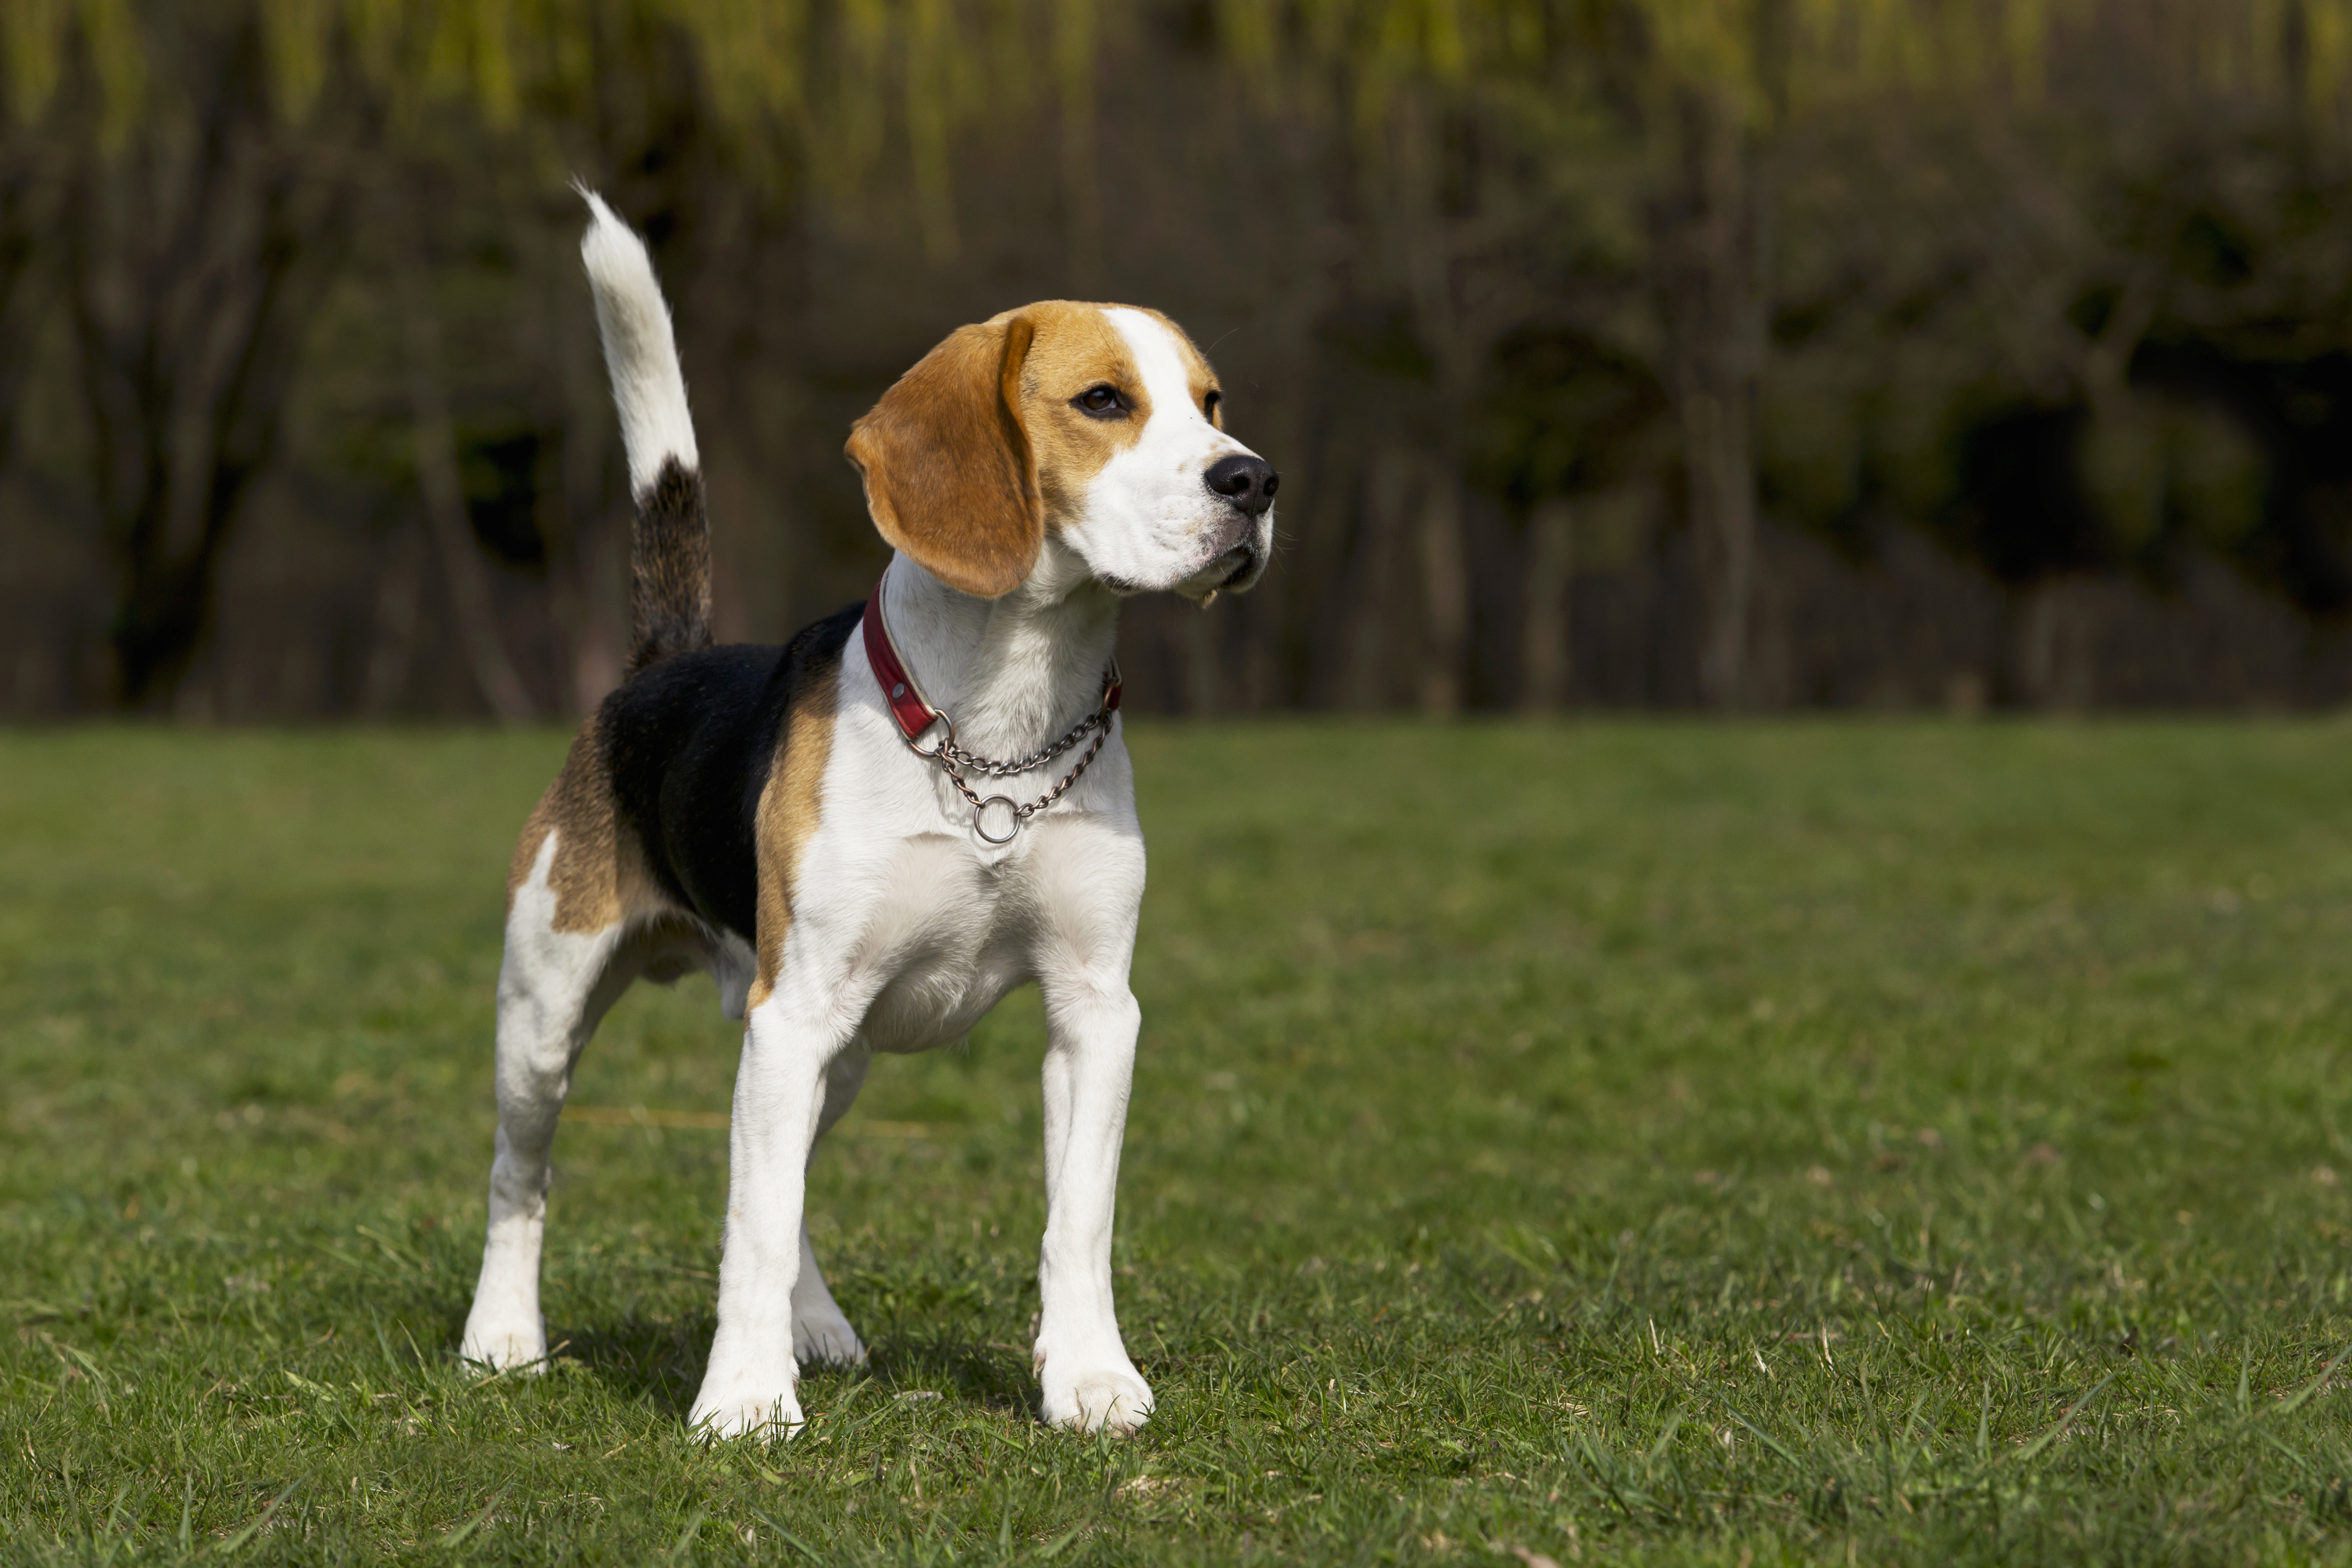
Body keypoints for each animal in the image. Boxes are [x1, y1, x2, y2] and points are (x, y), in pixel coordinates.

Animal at [451, 190, 1279, 1439]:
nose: (1255, 482)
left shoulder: (1095, 1010)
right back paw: (502, 1337)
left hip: (826, 1052)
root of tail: (662, 662)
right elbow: (745, 1227)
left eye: (1212, 403)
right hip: (553, 1009)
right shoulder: (790, 1014)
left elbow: (1076, 1220)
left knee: (776, 1176)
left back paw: (818, 1327)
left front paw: (1090, 1380)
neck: (1001, 729)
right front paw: (745, 1401)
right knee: (524, 1174)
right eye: (1103, 401)